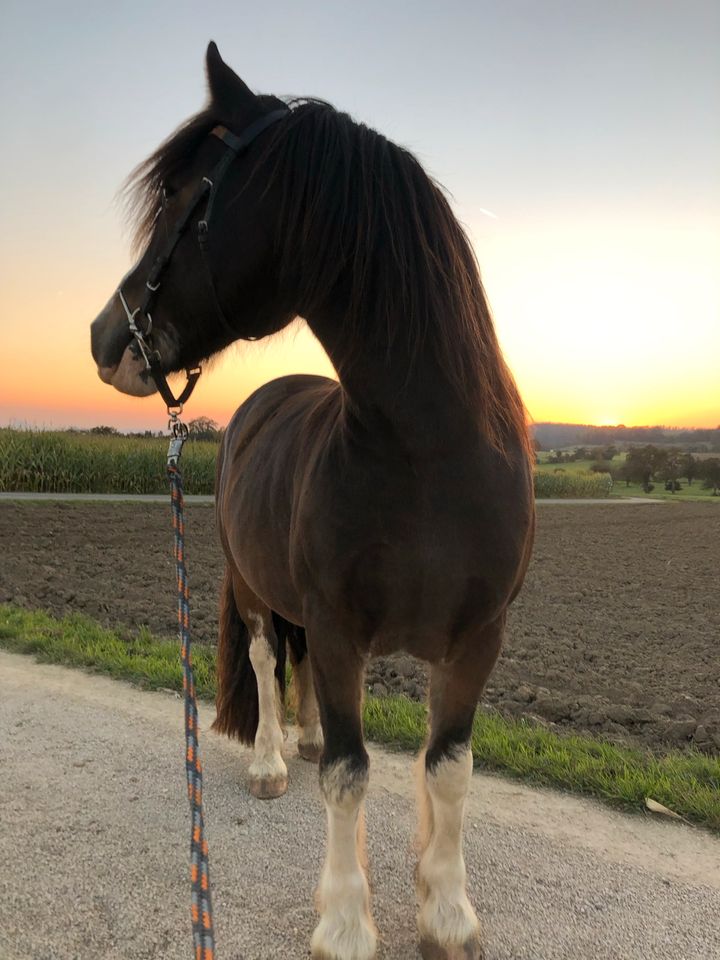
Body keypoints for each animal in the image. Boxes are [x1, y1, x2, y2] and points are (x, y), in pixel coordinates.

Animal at [90, 43, 536, 960]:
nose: (105, 339)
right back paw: (269, 760)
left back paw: (300, 732)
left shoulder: (477, 636)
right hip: (253, 585)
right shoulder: (337, 629)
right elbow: (348, 774)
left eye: (183, 198)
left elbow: (450, 767)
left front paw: (446, 910)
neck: (429, 455)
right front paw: (345, 921)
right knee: (268, 659)